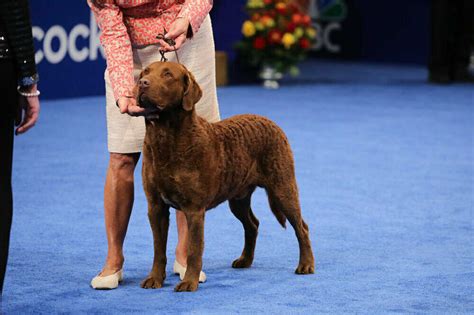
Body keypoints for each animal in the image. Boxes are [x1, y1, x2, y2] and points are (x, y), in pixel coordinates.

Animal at [135, 60, 314, 292]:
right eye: (145, 72)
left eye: (167, 74)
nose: (142, 83)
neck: (165, 139)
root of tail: (269, 121)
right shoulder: (155, 206)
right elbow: (158, 248)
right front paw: (155, 278)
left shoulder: (194, 209)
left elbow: (194, 249)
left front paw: (189, 282)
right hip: (238, 197)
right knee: (253, 224)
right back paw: (245, 260)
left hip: (283, 187)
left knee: (302, 226)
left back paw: (306, 265)